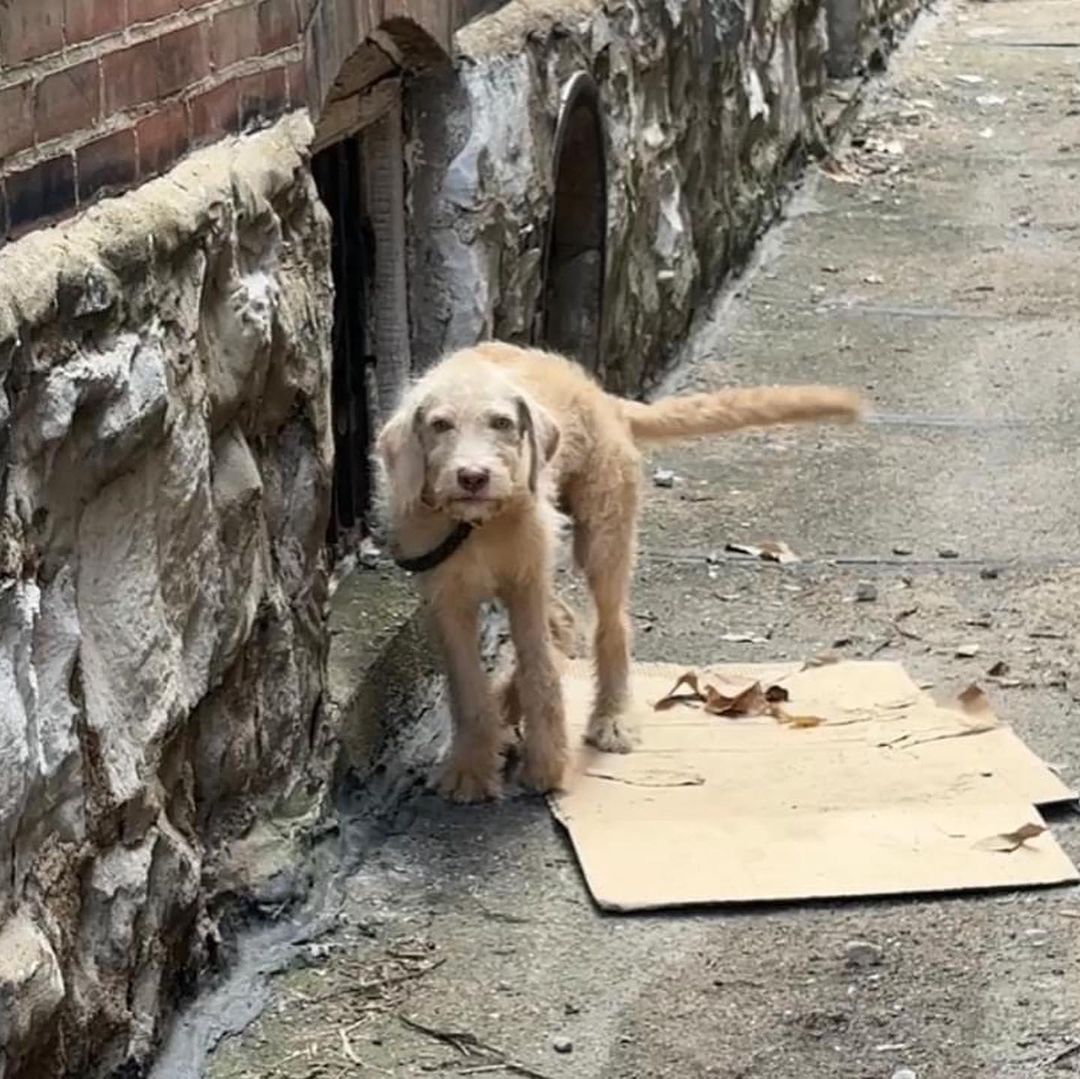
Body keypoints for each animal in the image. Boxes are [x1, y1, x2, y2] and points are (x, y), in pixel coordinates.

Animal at [375, 341, 864, 807]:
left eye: (501, 423)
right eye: (440, 425)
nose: (473, 477)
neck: (478, 525)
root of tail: (601, 397)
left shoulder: (526, 582)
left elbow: (541, 673)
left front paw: (546, 765)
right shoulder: (449, 598)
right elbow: (468, 688)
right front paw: (471, 769)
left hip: (603, 536)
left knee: (609, 627)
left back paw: (610, 718)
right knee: (564, 623)